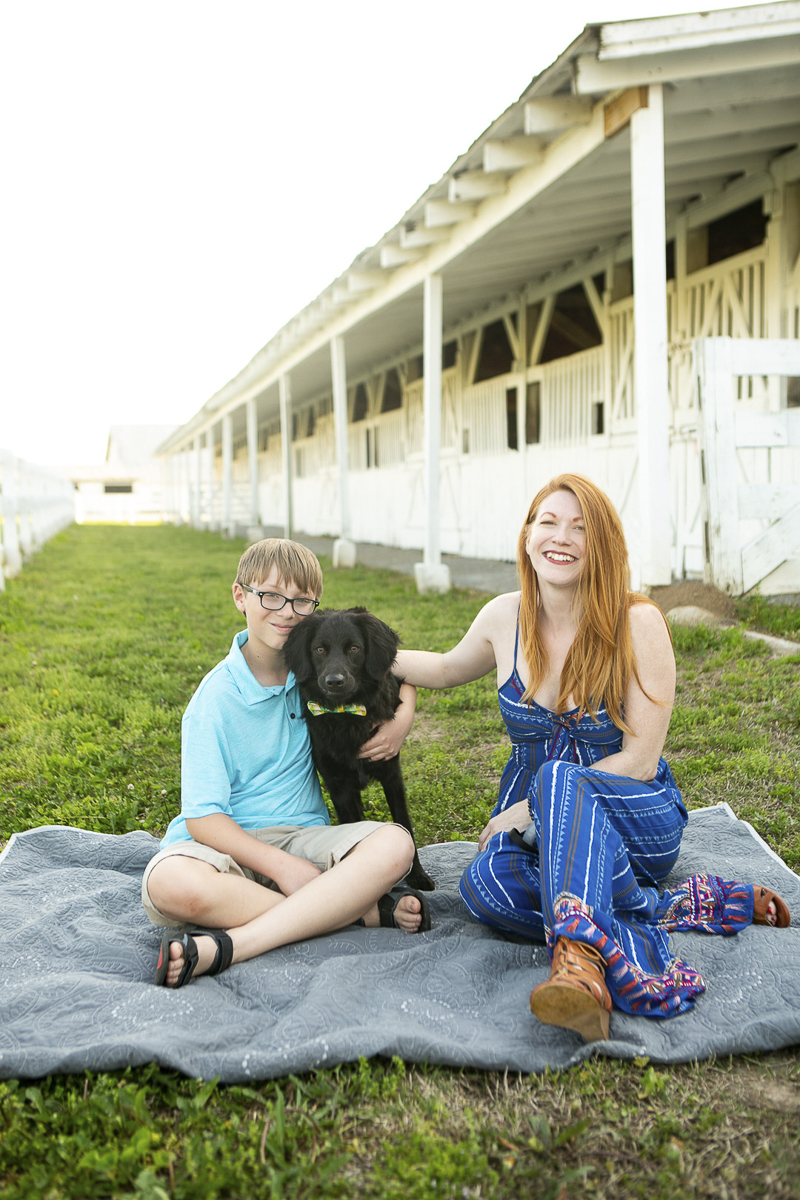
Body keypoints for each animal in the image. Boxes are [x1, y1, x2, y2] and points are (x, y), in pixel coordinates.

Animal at [284, 609, 434, 892]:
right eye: (320, 649)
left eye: (354, 648)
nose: (334, 682)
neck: (346, 716)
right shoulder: (337, 785)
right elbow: (353, 834)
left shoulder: (392, 774)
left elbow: (404, 824)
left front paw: (417, 875)